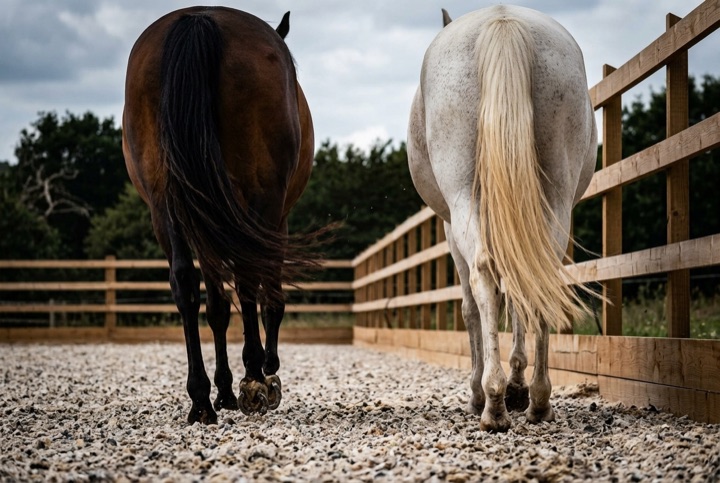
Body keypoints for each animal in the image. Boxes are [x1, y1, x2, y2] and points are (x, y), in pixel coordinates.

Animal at [122, 7, 315, 424]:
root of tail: (198, 18)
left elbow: (216, 307)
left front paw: (223, 389)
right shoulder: (276, 220)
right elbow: (269, 297)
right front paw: (264, 373)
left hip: (165, 206)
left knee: (185, 285)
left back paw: (200, 400)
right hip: (258, 203)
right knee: (246, 281)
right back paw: (254, 377)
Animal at [408, 5, 597, 432]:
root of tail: (503, 21)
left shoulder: (450, 228)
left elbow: (471, 306)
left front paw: (485, 390)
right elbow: (517, 297)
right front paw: (517, 385)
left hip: (463, 199)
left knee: (483, 278)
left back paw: (492, 402)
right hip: (553, 197)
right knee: (539, 277)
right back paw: (538, 400)